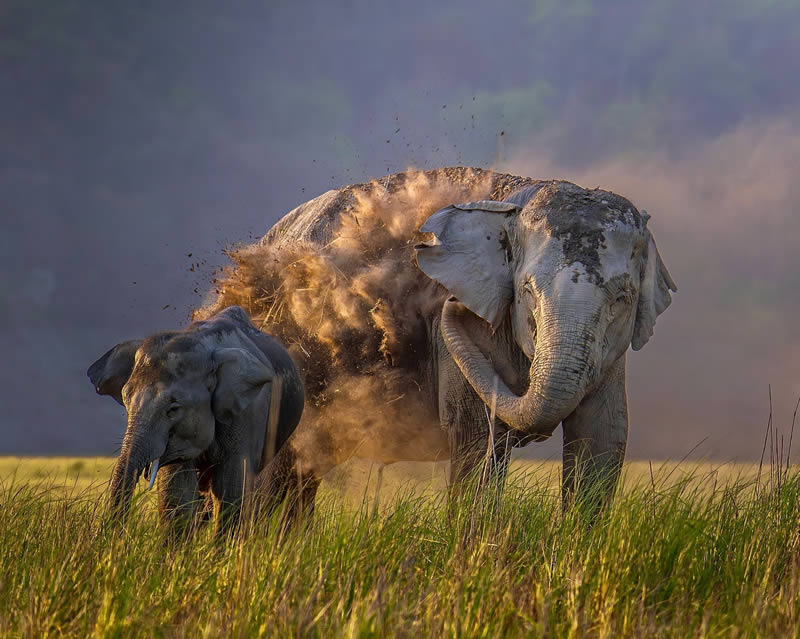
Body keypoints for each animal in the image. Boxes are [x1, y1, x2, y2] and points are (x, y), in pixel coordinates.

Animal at [202, 168, 676, 516]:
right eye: (526, 291)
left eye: (623, 298)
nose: (446, 304)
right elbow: (479, 437)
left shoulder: (611, 354)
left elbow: (603, 438)